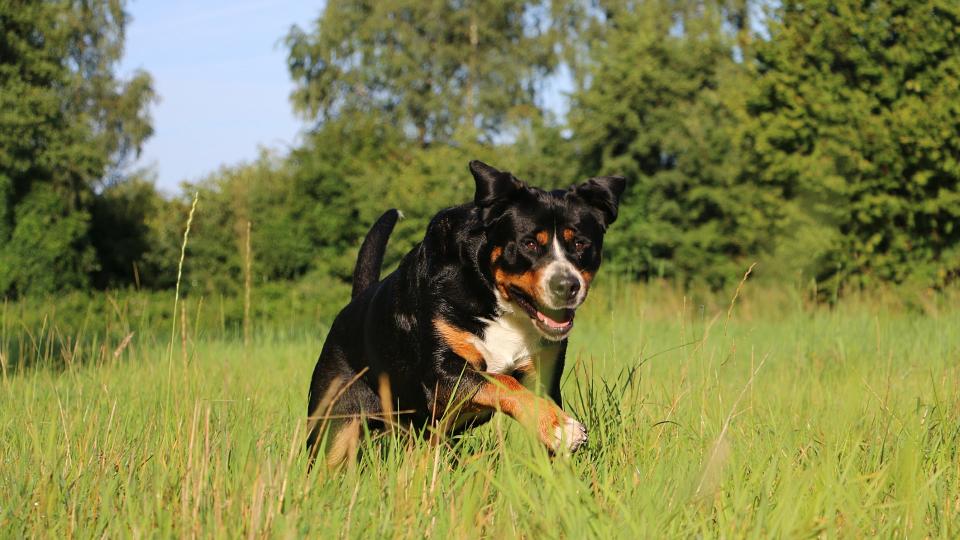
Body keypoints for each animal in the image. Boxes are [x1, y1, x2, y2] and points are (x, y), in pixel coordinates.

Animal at [304, 160, 628, 468]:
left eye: (580, 243)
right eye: (530, 243)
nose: (567, 285)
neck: (498, 306)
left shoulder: (543, 375)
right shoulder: (443, 374)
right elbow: (502, 382)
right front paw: (559, 427)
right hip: (333, 428)